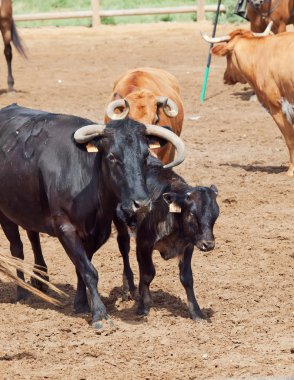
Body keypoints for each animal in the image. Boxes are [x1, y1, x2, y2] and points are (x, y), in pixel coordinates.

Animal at [0, 103, 184, 326]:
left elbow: (81, 268)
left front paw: (81, 304)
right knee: (17, 249)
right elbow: (89, 271)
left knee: (33, 237)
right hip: (5, 215)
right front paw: (99, 313)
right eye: (112, 157)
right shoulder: (65, 228)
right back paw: (23, 291)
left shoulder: (97, 232)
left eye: (145, 156)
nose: (141, 204)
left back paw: (41, 278)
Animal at [113, 157, 219, 320]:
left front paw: (196, 312)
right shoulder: (145, 242)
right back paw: (128, 288)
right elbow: (148, 274)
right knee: (124, 248)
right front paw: (143, 307)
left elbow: (187, 278)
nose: (208, 244)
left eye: (216, 214)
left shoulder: (188, 246)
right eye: (192, 214)